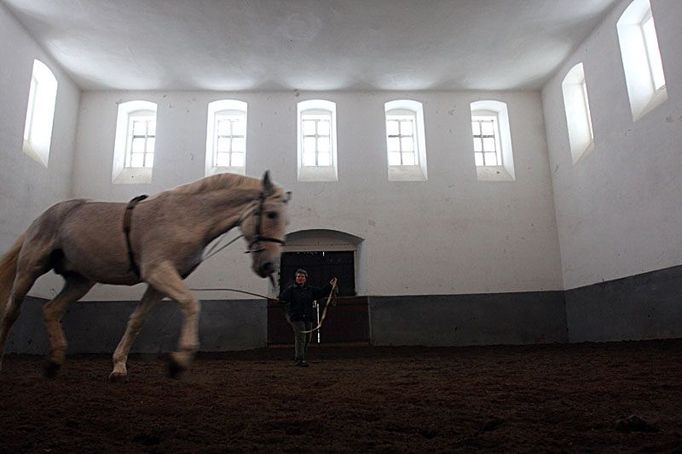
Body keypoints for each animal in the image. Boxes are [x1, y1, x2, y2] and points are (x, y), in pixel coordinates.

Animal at [0, 170, 288, 380]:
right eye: (271, 214)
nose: (269, 266)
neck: (188, 217)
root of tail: (44, 215)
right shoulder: (158, 271)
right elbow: (191, 303)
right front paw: (179, 361)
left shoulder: (160, 282)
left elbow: (137, 320)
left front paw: (118, 367)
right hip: (30, 269)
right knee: (12, 311)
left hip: (81, 280)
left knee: (51, 310)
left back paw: (54, 362)